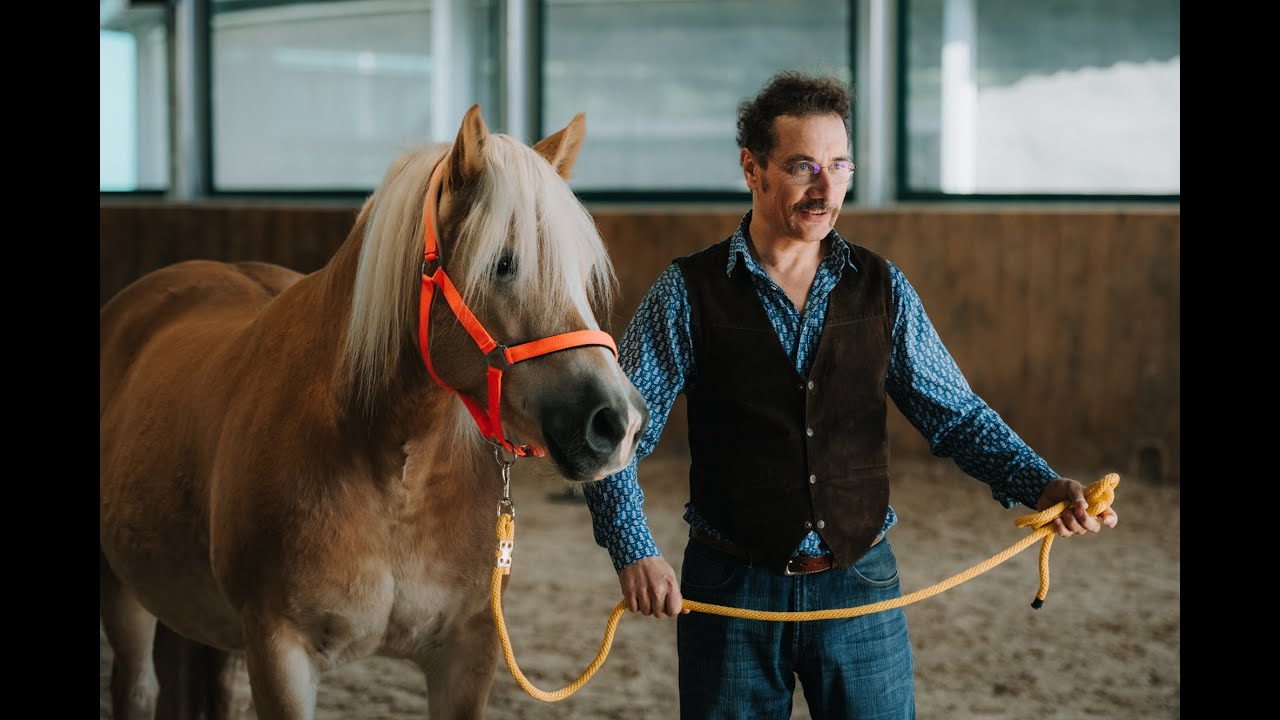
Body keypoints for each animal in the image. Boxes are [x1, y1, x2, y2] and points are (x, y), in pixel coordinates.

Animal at [99, 104, 649, 720]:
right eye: (503, 264)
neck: (396, 476)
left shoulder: (469, 650)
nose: (619, 421)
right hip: (121, 590)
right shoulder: (279, 650)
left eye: (579, 271)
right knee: (136, 687)